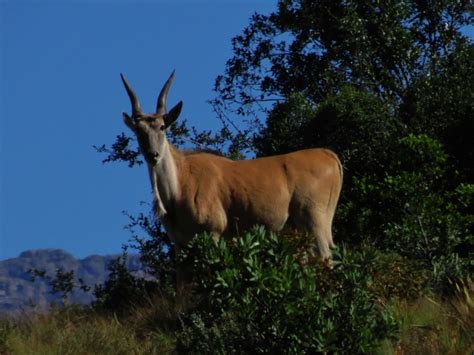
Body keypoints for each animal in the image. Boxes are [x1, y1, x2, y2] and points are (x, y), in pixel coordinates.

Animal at [118, 72, 340, 266]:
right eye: (138, 131)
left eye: (162, 127)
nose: (153, 155)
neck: (179, 185)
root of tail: (330, 156)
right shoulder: (180, 245)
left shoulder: (213, 234)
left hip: (315, 222)